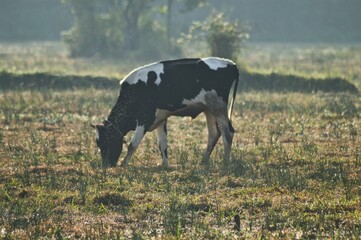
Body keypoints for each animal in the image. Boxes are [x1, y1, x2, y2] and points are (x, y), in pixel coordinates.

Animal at [91, 57, 239, 168]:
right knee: (214, 134)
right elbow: (162, 144)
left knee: (227, 132)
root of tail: (231, 63)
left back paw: (225, 163)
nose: (106, 165)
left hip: (218, 107)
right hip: (209, 109)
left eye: (105, 141)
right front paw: (164, 165)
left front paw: (124, 164)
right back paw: (203, 161)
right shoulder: (160, 118)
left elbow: (133, 144)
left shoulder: (145, 119)